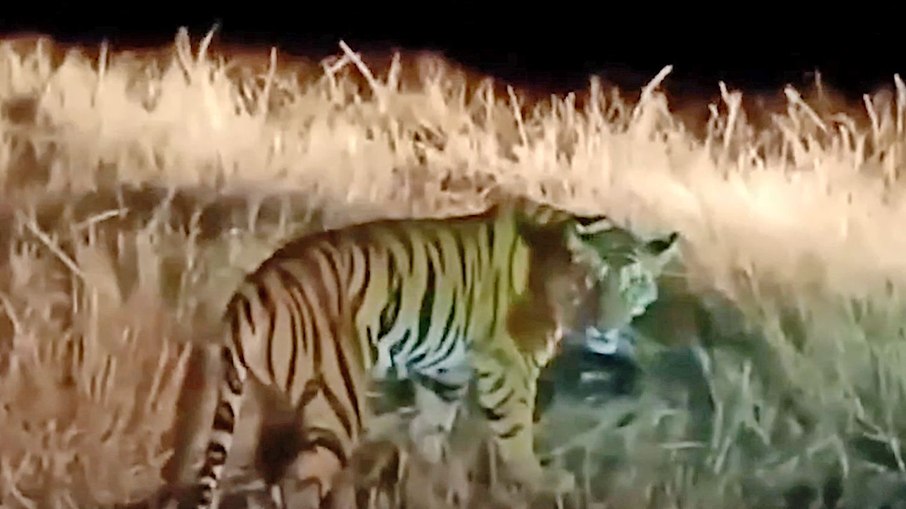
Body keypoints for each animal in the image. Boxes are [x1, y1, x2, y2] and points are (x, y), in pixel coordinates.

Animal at [174, 194, 680, 509]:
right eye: (590, 283)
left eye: (632, 285)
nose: (605, 327)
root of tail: (249, 292)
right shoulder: (510, 369)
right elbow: (516, 436)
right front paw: (544, 483)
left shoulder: (445, 372)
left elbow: (431, 434)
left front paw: (432, 485)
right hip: (337, 401)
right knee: (299, 481)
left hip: (263, 399)